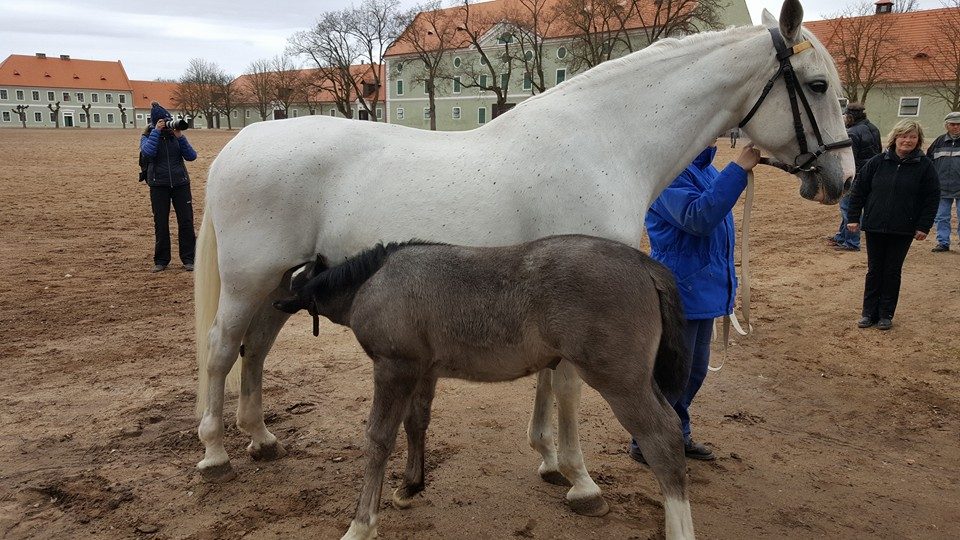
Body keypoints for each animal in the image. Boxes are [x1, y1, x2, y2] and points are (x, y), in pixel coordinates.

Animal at [278, 235, 696, 540]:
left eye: (294, 279)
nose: (275, 301)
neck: (376, 280)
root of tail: (645, 264)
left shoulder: (394, 368)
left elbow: (379, 438)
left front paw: (361, 525)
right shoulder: (423, 371)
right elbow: (417, 423)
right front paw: (411, 485)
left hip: (620, 382)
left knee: (663, 438)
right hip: (639, 381)